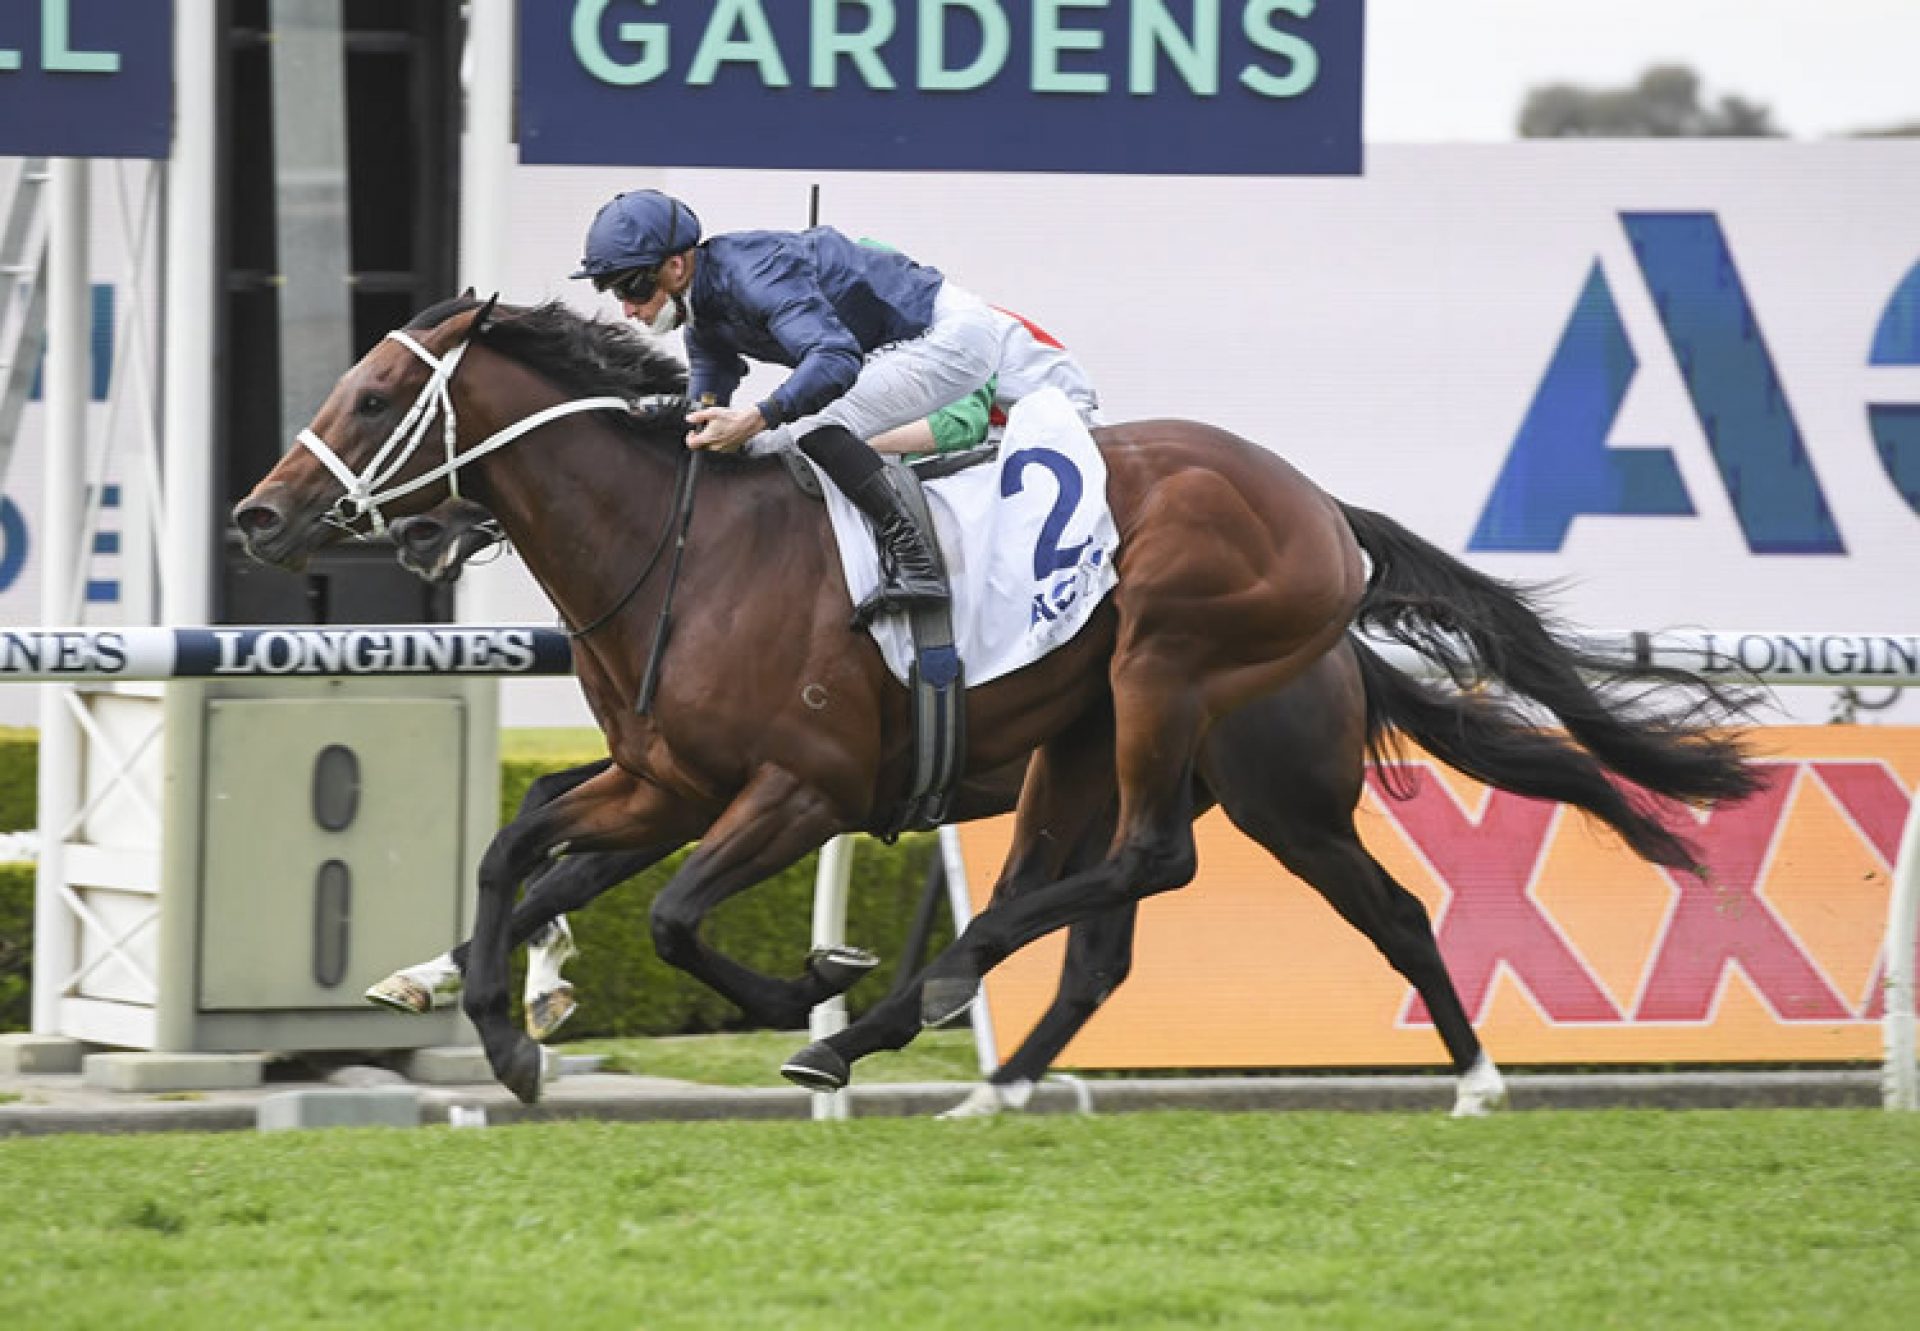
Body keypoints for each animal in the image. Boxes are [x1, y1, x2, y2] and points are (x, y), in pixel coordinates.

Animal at [232, 297, 1758, 1098]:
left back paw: (919, 1003)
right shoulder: (666, 777)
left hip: (1178, 690)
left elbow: (665, 915)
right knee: (1141, 927)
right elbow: (522, 847)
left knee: (1164, 861)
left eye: (377, 394)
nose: (257, 513)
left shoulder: (797, 789)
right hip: (1119, 758)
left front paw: (816, 989)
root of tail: (1330, 518)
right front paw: (495, 1011)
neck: (682, 546)